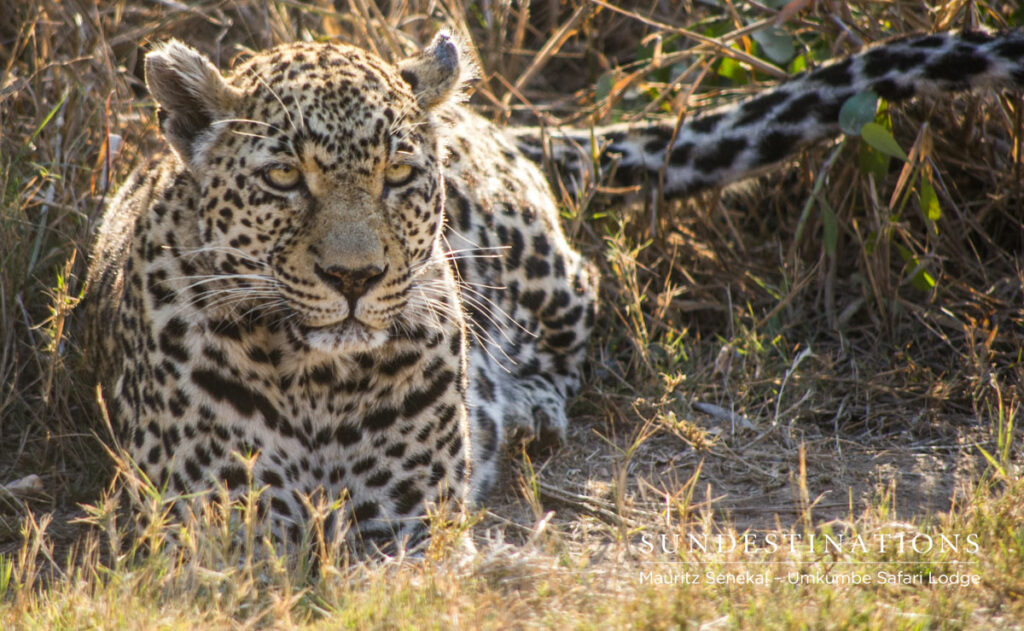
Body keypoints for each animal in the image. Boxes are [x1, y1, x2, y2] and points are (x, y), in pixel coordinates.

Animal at [82, 26, 1024, 547]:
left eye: (397, 176)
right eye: (284, 179)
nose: (356, 277)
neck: (314, 378)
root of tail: (487, 117)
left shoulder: (404, 526)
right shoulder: (215, 532)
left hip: (529, 257)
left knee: (585, 291)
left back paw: (528, 403)